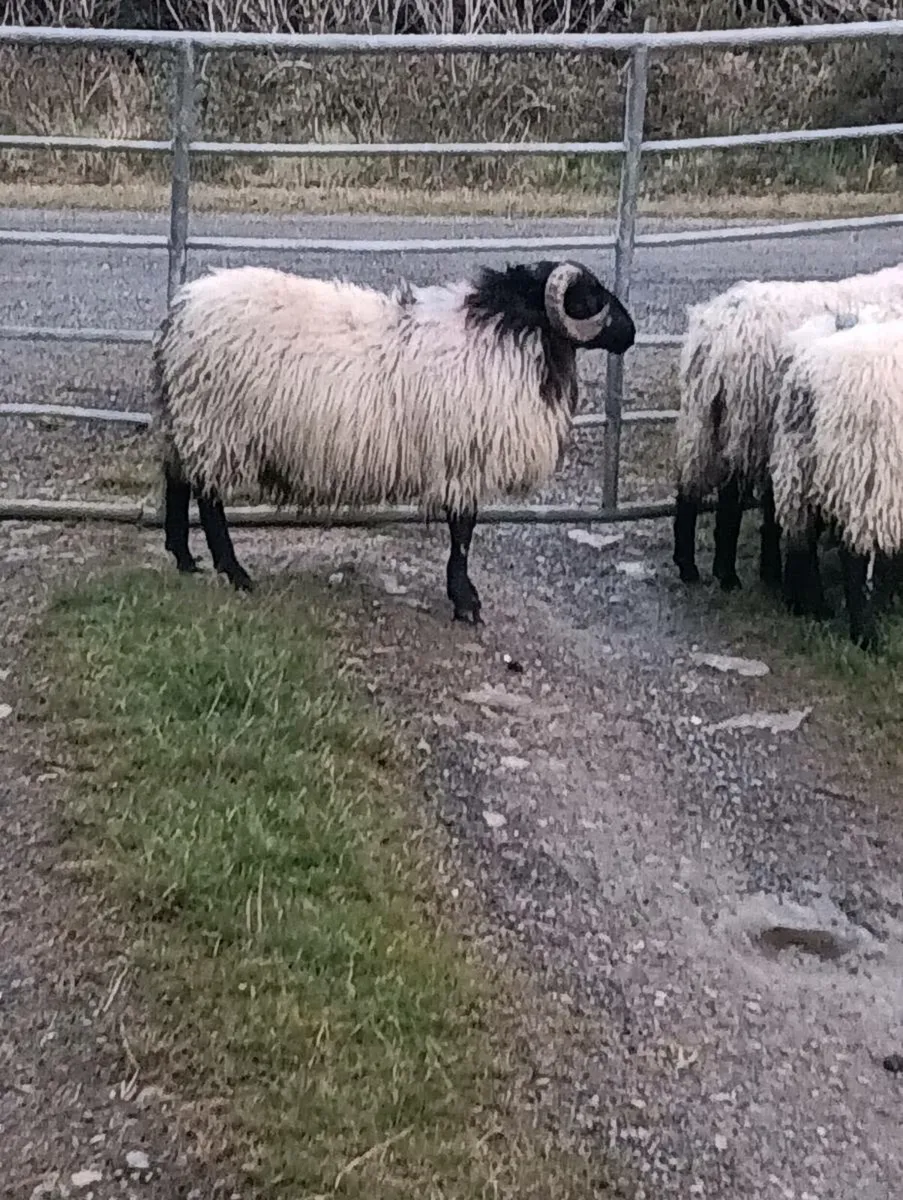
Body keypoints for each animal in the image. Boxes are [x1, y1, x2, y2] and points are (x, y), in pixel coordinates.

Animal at [152, 259, 636, 623]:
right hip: (216, 425)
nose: (631, 334)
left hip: (189, 421)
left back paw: (184, 558)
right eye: (590, 299)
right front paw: (465, 602)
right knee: (209, 500)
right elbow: (463, 531)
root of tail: (180, 312)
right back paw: (235, 573)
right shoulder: (462, 460)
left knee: (177, 480)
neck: (511, 334)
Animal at [672, 262, 903, 594]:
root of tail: (717, 328)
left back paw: (691, 565)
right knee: (730, 500)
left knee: (688, 486)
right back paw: (727, 575)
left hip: (704, 418)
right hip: (746, 420)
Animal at [771, 307, 903, 650]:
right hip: (862, 469)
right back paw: (865, 635)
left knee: (801, 532)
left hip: (803, 464)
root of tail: (806, 375)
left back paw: (807, 606)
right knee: (851, 553)